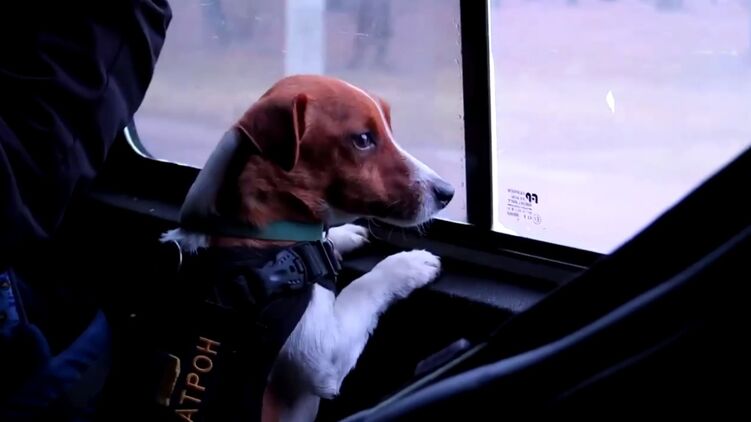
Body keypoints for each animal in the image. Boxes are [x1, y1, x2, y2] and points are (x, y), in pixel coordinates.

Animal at [161, 74, 455, 422]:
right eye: (363, 139)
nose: (448, 192)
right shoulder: (324, 357)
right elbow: (364, 285)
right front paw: (408, 265)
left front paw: (342, 236)